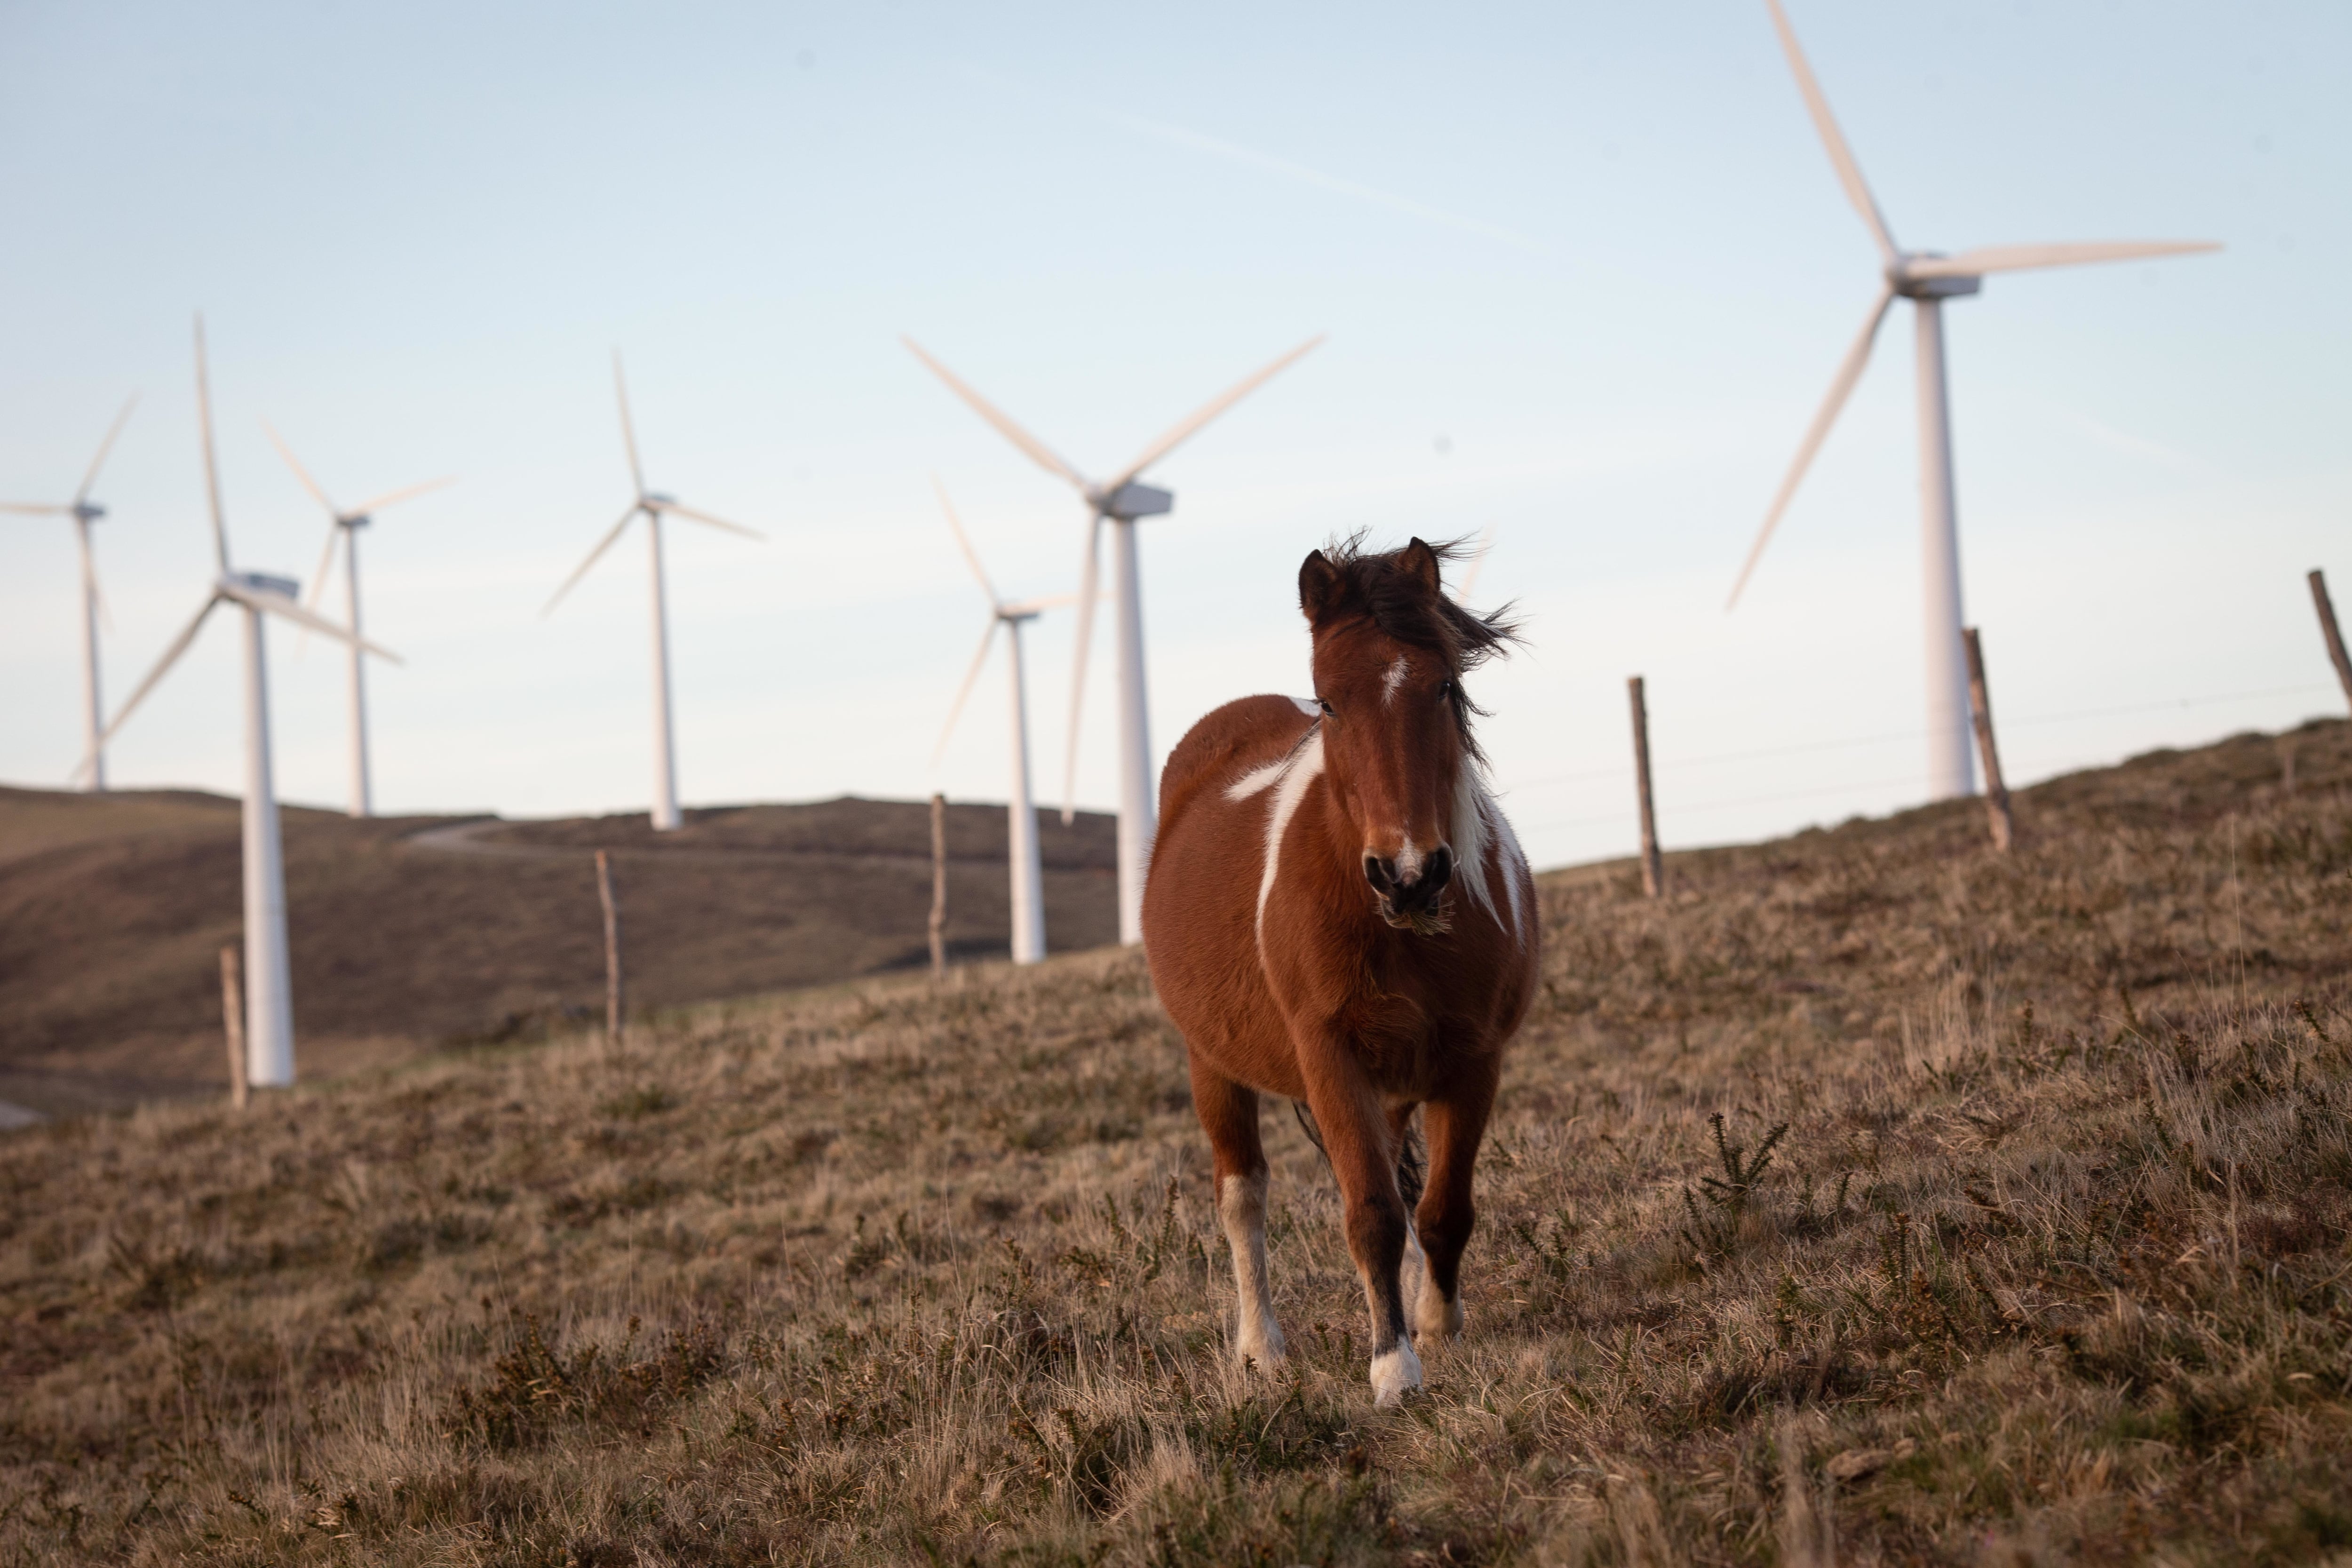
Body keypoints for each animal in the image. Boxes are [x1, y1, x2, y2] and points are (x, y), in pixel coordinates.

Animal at [1143, 533, 1543, 1401]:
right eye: (1328, 702)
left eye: (1444, 686)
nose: (1409, 873)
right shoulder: (1331, 1061)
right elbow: (1371, 1215)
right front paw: (1394, 1367)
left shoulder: (1475, 1062)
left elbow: (1442, 1209)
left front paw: (1437, 1325)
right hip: (1211, 1064)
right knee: (1242, 1197)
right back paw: (1261, 1347)